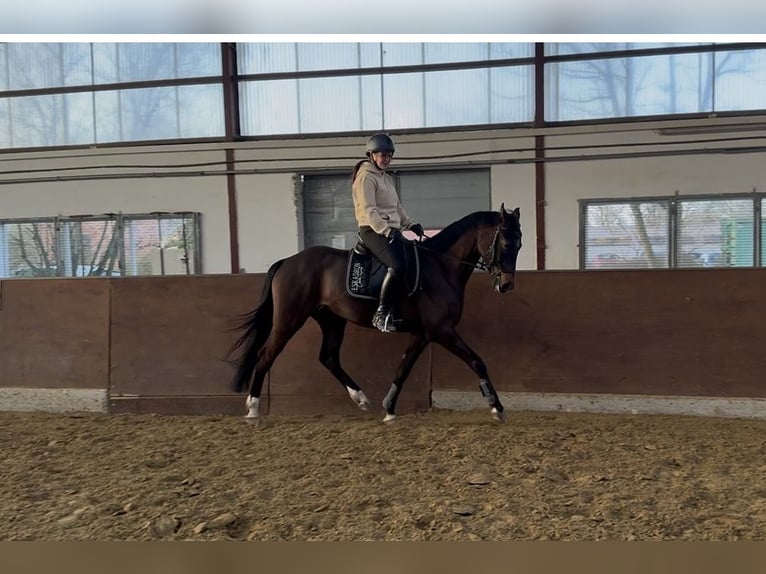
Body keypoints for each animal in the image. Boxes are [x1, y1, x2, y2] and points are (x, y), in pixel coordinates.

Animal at [228, 204, 523, 423]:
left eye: (519, 245)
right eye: (507, 243)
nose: (507, 285)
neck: (440, 266)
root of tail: (288, 261)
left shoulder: (423, 333)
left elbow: (403, 368)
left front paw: (389, 408)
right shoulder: (442, 330)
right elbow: (476, 361)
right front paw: (497, 407)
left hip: (332, 320)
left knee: (328, 357)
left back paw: (361, 399)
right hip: (289, 319)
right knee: (266, 354)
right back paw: (253, 409)